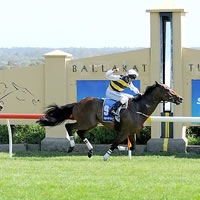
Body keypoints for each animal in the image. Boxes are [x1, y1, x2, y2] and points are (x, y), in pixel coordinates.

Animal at [36, 80, 183, 160]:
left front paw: (122, 148)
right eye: (167, 90)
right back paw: (71, 147)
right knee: (70, 127)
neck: (138, 108)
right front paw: (107, 155)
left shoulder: (132, 132)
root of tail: (78, 103)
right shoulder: (124, 131)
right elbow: (115, 143)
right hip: (87, 122)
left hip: (92, 124)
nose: (180, 98)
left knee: (80, 132)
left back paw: (90, 151)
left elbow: (133, 146)